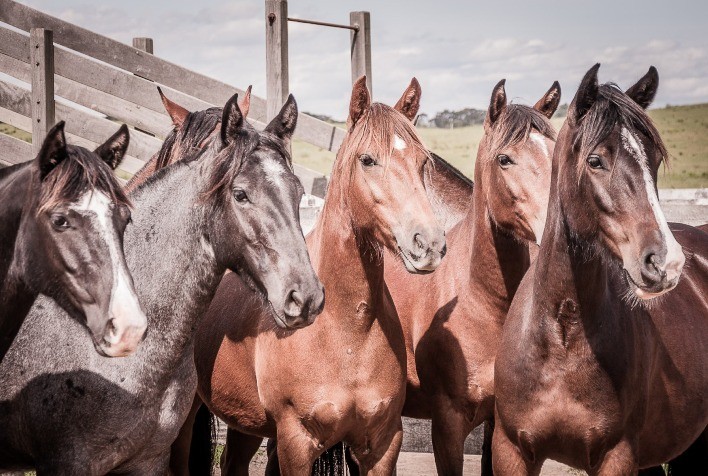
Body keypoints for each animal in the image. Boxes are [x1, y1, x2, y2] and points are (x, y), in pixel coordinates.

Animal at [175, 76, 447, 476]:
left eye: (423, 161)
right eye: (367, 159)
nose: (429, 243)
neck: (347, 331)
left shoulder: (384, 443)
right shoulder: (297, 441)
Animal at [493, 64, 708, 475]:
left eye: (654, 160)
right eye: (595, 160)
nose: (666, 262)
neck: (561, 339)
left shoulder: (617, 456)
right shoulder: (511, 451)